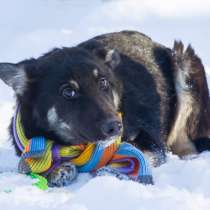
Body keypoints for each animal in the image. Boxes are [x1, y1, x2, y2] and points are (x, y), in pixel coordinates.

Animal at [0, 30, 209, 185]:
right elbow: (24, 165)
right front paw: (55, 170)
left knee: (187, 144)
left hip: (185, 65)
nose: (115, 126)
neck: (76, 148)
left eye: (103, 82)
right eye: (68, 92)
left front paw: (112, 172)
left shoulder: (152, 141)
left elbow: (140, 153)